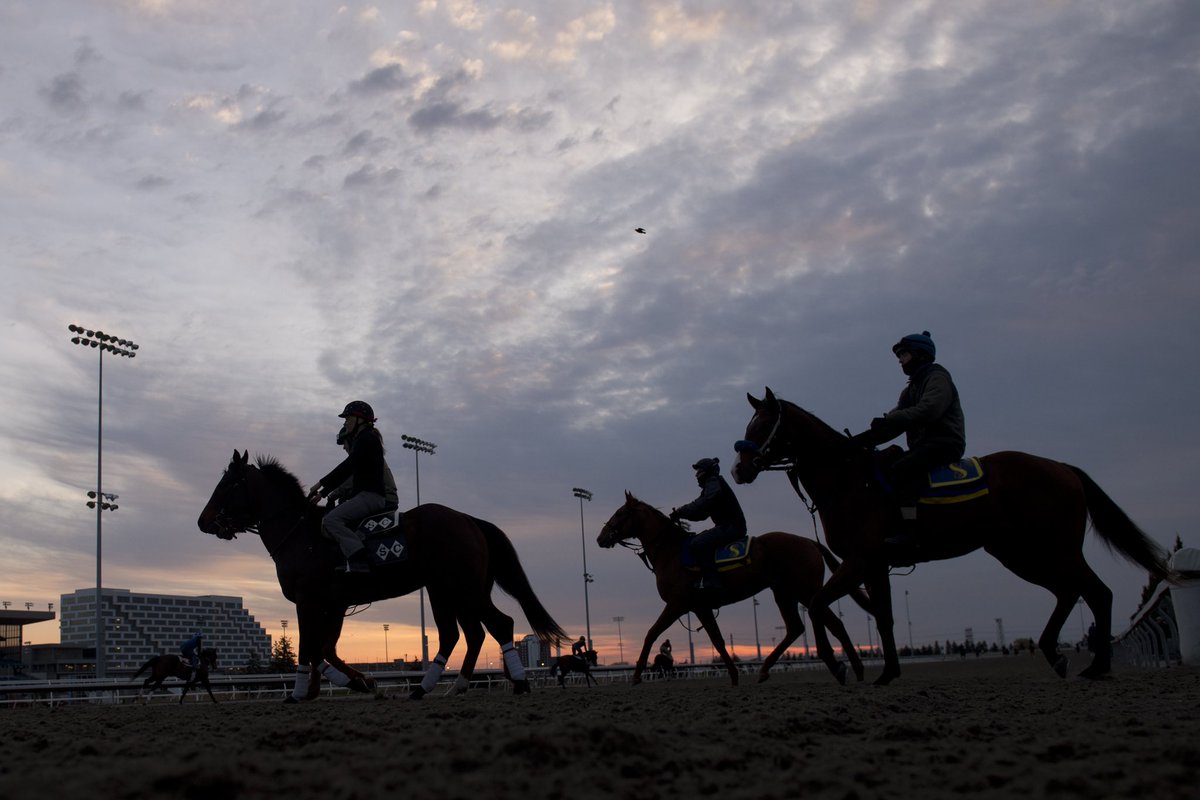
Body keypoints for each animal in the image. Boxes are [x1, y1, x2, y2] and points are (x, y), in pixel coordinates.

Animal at [196, 453, 566, 705]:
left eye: (227, 484)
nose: (203, 521)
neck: (301, 534)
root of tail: (467, 519)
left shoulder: (309, 600)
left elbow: (310, 647)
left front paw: (305, 691)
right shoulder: (334, 605)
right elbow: (324, 648)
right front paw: (354, 683)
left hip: (463, 589)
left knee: (497, 625)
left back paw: (515, 682)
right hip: (448, 591)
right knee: (467, 634)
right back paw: (443, 686)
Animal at [595, 494, 868, 690]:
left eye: (620, 513)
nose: (600, 537)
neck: (670, 552)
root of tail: (810, 541)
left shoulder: (677, 604)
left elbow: (651, 634)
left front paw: (636, 676)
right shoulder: (700, 607)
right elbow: (717, 640)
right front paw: (735, 676)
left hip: (802, 590)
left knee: (823, 621)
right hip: (785, 592)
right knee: (803, 626)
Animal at [724, 386, 1176, 681]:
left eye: (763, 424)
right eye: (748, 423)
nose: (739, 469)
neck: (847, 478)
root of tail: (1062, 468)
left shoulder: (859, 559)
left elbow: (819, 604)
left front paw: (837, 666)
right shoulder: (875, 564)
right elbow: (884, 618)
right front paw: (887, 673)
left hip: (1056, 547)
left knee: (1096, 591)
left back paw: (1097, 666)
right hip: (1017, 553)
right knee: (1068, 592)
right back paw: (1056, 654)